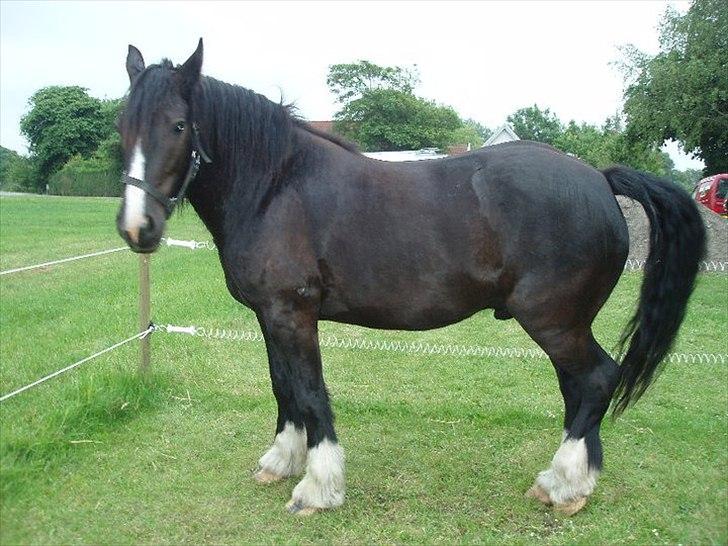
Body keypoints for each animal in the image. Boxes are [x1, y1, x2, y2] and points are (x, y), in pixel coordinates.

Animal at [115, 39, 706, 516]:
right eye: (123, 126)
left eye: (179, 125)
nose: (137, 227)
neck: (276, 186)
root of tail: (601, 180)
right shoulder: (270, 316)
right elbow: (283, 386)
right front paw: (281, 460)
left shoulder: (292, 314)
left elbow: (309, 391)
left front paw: (317, 488)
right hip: (565, 326)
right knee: (579, 389)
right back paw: (571, 482)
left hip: (554, 322)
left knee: (595, 380)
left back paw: (563, 486)